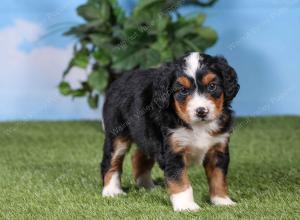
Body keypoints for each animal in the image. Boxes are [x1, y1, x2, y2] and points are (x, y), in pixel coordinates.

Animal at [100, 52, 239, 211]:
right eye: (183, 90)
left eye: (212, 86)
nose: (201, 111)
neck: (198, 126)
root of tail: (119, 80)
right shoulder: (173, 150)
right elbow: (180, 180)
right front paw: (186, 206)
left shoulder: (218, 149)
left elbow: (218, 178)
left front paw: (223, 201)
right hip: (117, 134)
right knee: (110, 161)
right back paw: (112, 191)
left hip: (147, 135)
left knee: (138, 157)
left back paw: (148, 187)